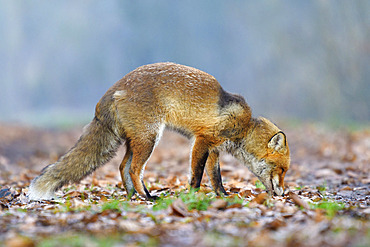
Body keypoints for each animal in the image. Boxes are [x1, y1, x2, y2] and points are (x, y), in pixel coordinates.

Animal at [28, 61, 290, 201]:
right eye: (282, 170)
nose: (283, 194)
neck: (244, 126)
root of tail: (114, 88)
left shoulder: (214, 150)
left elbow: (216, 178)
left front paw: (223, 197)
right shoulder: (202, 141)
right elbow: (196, 175)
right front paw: (192, 196)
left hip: (137, 140)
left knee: (122, 166)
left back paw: (133, 195)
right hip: (150, 138)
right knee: (134, 168)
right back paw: (147, 196)